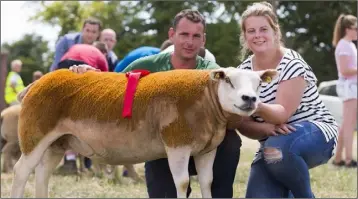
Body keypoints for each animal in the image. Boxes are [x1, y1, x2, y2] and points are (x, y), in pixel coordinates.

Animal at [9, 67, 276, 198]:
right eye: (228, 81)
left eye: (258, 84)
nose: (250, 99)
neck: (206, 99)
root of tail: (35, 83)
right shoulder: (177, 144)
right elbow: (182, 183)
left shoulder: (207, 150)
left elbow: (207, 182)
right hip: (34, 135)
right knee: (21, 172)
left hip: (58, 143)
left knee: (42, 175)